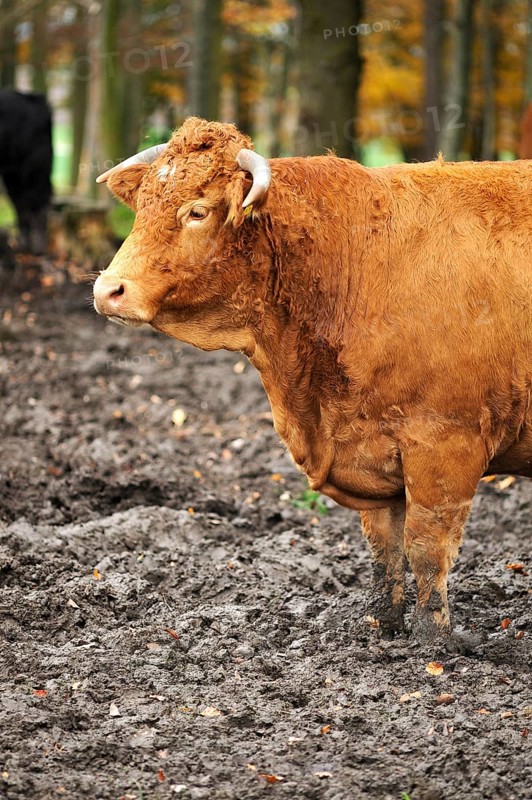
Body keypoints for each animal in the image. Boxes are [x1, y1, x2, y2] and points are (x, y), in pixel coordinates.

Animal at [0, 90, 53, 254]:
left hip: (33, 167)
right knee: (20, 203)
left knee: (38, 201)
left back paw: (36, 248)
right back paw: (23, 246)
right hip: (13, 173)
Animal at [93, 117, 532, 646]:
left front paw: (432, 643)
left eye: (197, 210)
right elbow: (385, 549)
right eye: (141, 207)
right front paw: (383, 627)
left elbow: (427, 551)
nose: (107, 290)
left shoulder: (445, 443)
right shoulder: (374, 454)